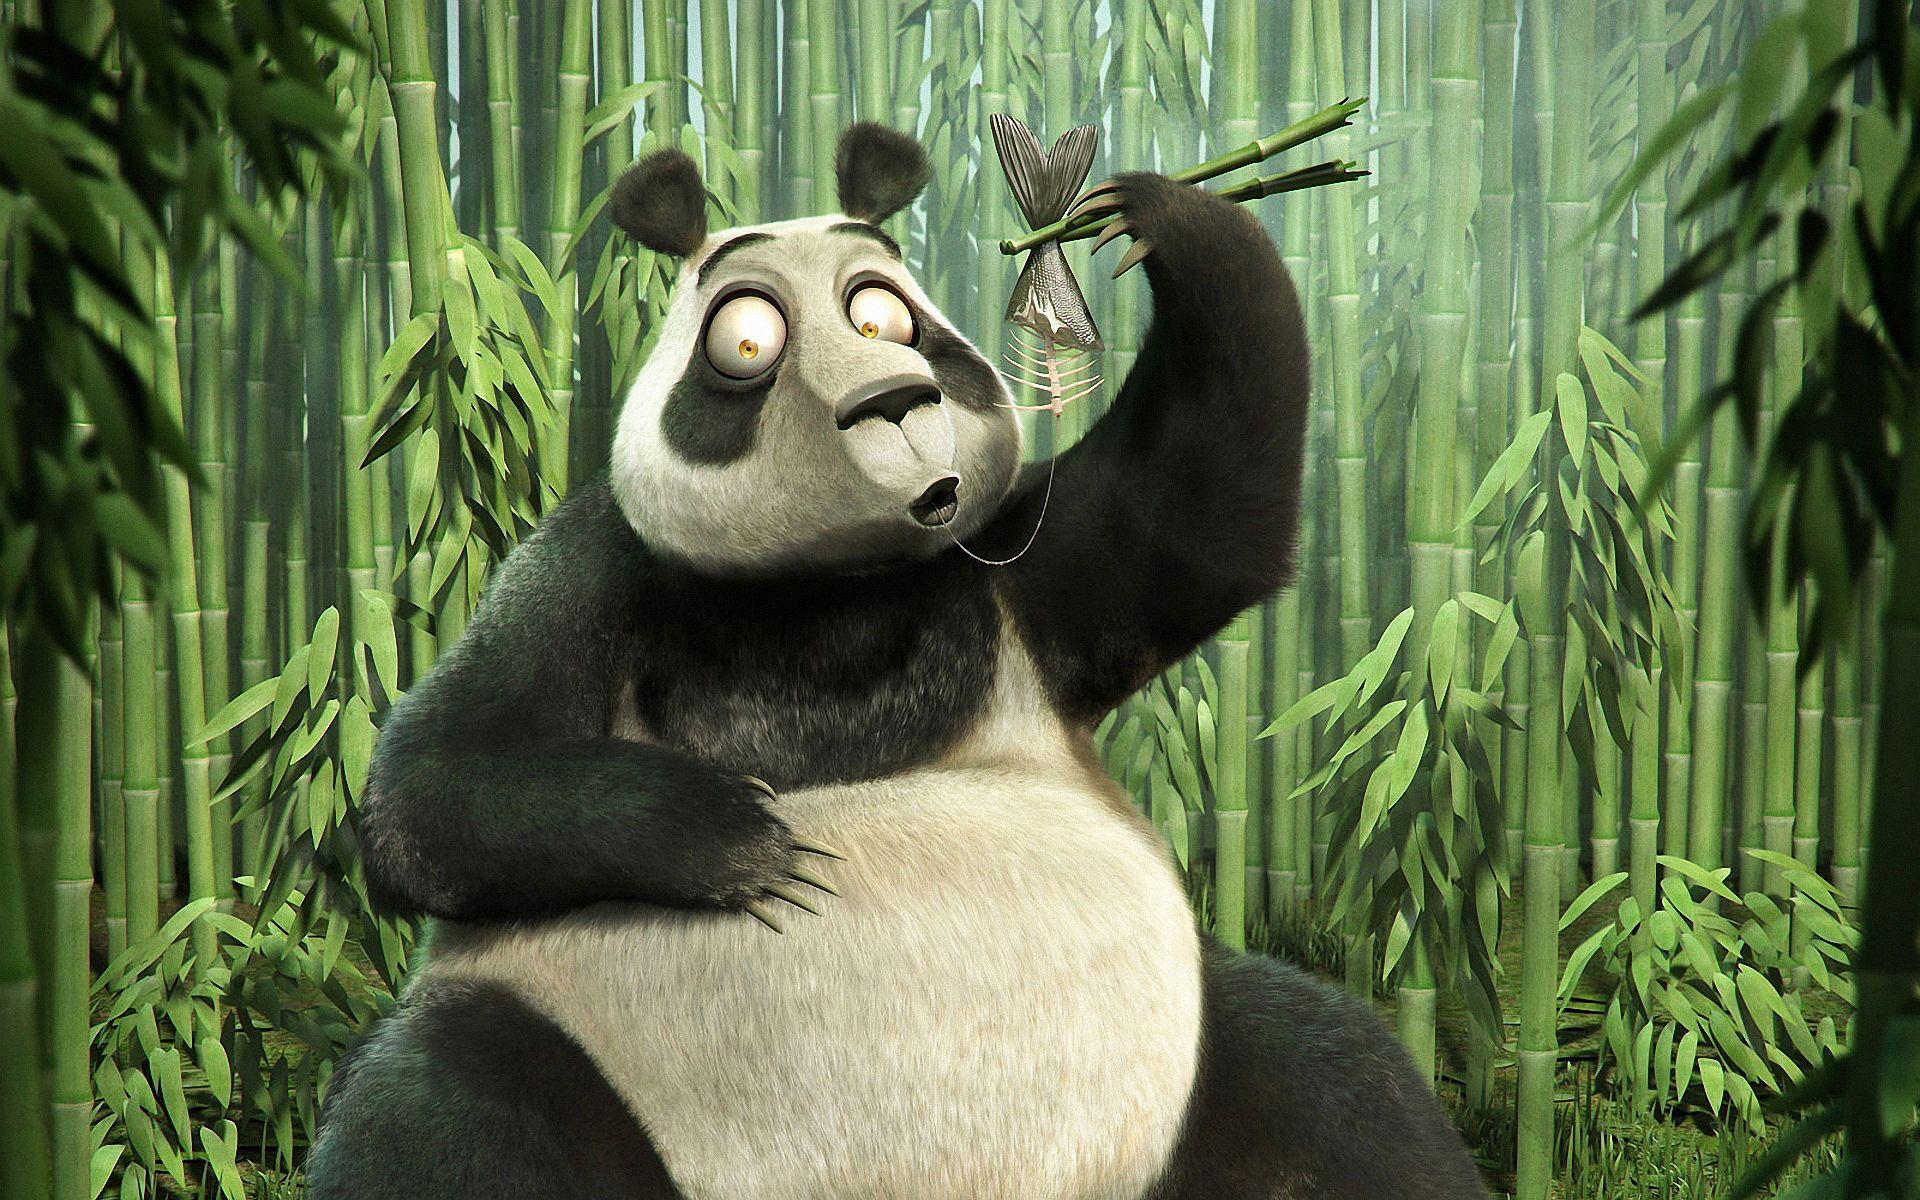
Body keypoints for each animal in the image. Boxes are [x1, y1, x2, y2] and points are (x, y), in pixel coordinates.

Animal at [306, 123, 1488, 1200]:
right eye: (747, 339)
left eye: (884, 313)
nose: (893, 399)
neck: (831, 591)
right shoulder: (597, 569)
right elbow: (435, 783)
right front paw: (740, 839)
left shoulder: (1010, 570)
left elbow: (1205, 516)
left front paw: (1160, 211)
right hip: (566, 1058)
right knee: (440, 1113)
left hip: (1194, 1071)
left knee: (1335, 1082)